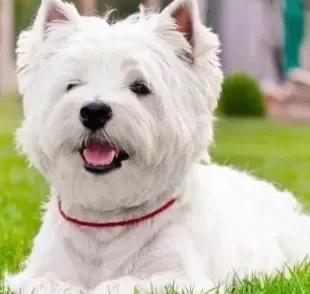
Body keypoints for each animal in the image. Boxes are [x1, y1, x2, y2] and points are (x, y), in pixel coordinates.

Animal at [5, 0, 310, 292]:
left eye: (140, 87)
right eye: (73, 85)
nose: (93, 111)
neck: (107, 222)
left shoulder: (177, 276)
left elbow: (122, 283)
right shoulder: (39, 272)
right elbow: (50, 282)